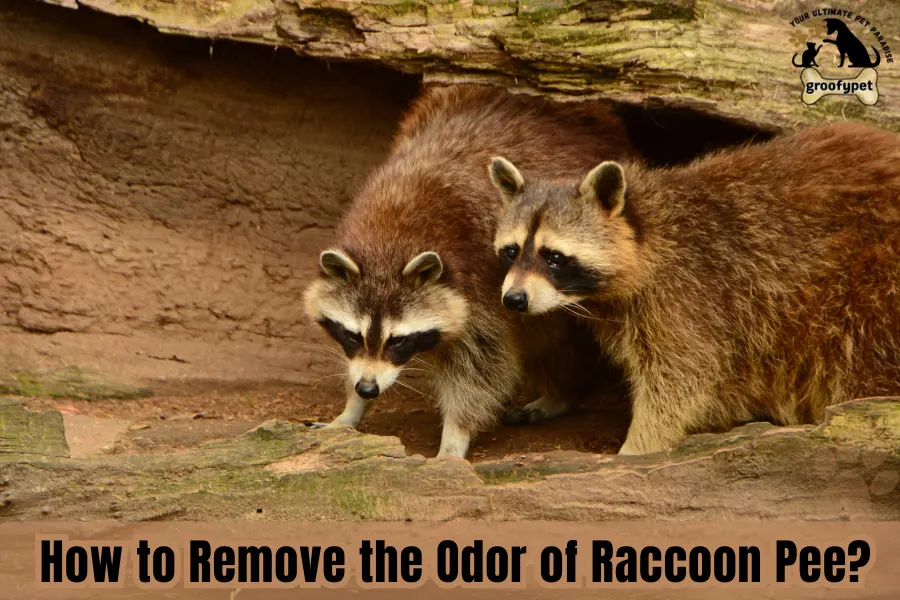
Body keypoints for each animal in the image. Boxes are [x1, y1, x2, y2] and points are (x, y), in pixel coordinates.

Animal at [303, 84, 636, 458]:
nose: (367, 388)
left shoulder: (482, 280)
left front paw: (454, 435)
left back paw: (563, 391)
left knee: (552, 335)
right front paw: (351, 407)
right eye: (352, 335)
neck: (389, 240)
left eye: (398, 340)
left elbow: (482, 366)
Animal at [488, 122, 900, 455]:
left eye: (554, 257)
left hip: (872, 283)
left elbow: (680, 378)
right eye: (511, 251)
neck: (647, 229)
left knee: (860, 355)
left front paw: (639, 445)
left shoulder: (690, 295)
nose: (514, 299)